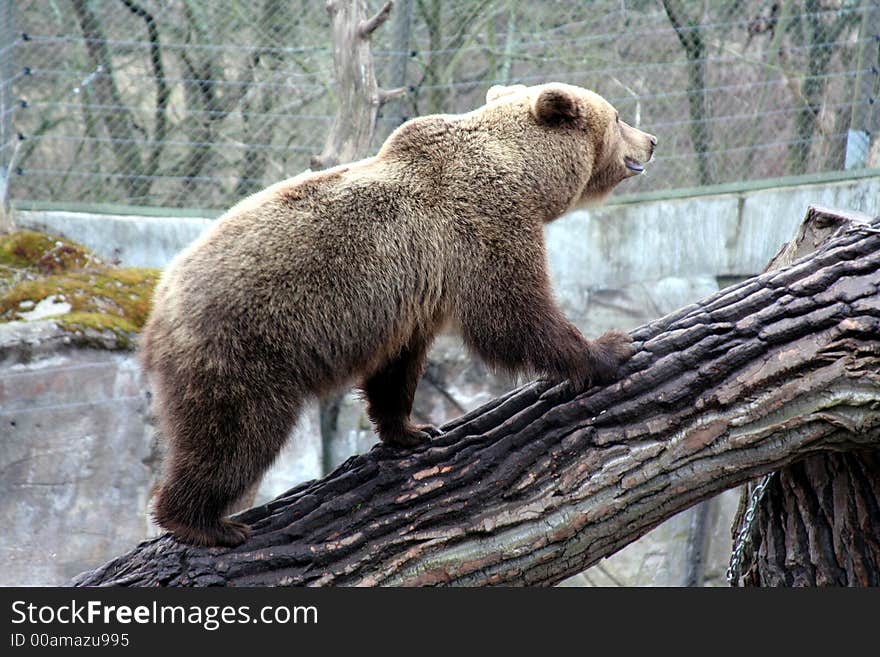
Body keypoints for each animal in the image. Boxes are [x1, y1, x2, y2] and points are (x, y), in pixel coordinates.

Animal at [141, 82, 656, 544]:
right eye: (617, 117)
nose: (651, 140)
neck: (527, 173)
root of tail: (158, 306)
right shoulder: (484, 222)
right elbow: (511, 315)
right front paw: (610, 347)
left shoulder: (415, 292)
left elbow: (398, 366)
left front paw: (413, 429)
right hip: (246, 345)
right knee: (234, 435)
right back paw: (206, 523)